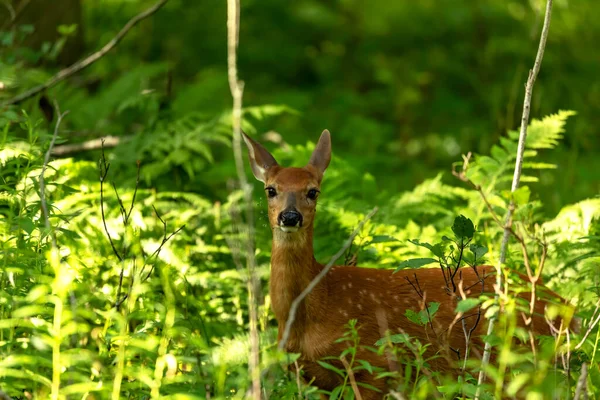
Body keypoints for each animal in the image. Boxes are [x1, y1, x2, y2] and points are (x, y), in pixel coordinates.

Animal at [241, 130, 576, 398]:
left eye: (313, 191)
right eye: (271, 189)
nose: (290, 217)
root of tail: (567, 309)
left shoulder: (375, 367)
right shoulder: (311, 377)